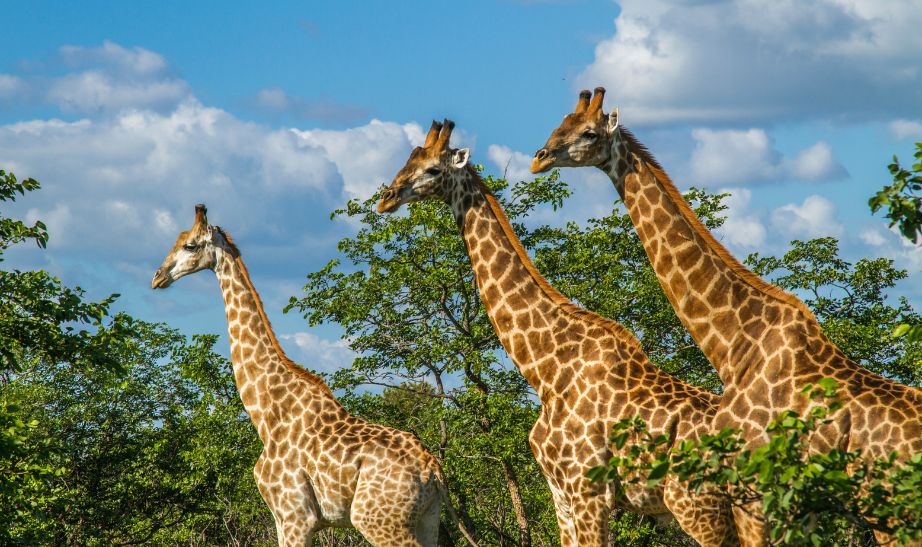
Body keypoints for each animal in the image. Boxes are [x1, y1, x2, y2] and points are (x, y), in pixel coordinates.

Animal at [151, 204, 478, 547]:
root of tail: (434, 471)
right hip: (427, 518)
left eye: (190, 245)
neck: (266, 413)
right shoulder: (282, 520)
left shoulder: (296, 516)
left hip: (380, 521)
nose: (157, 277)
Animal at [377, 119, 738, 547]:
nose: (386, 198)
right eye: (407, 159)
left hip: (700, 508)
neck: (545, 368)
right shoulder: (560, 494)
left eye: (432, 169)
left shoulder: (588, 490)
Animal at [532, 87, 922, 544]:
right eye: (561, 122)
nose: (539, 157)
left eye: (589, 133)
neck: (735, 344)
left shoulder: (754, 492)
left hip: (890, 511)